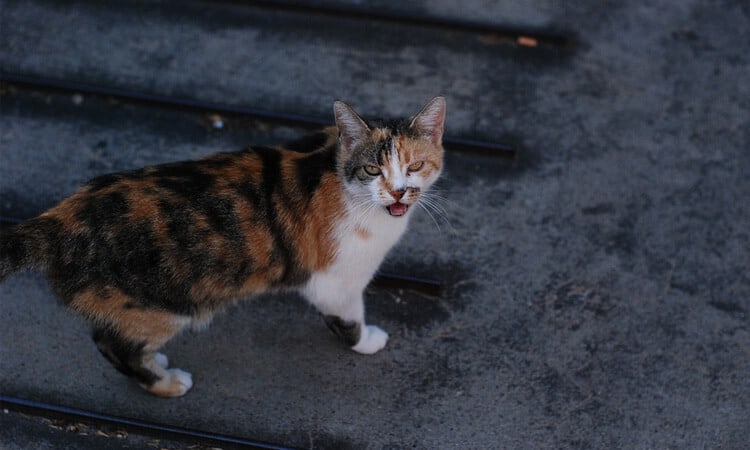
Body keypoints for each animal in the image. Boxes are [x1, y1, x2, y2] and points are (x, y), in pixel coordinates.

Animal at [0, 96, 446, 396]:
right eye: (372, 169)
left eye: (415, 166)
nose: (399, 192)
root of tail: (59, 218)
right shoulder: (336, 280)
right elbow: (348, 318)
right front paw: (367, 340)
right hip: (162, 305)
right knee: (113, 344)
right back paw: (165, 382)